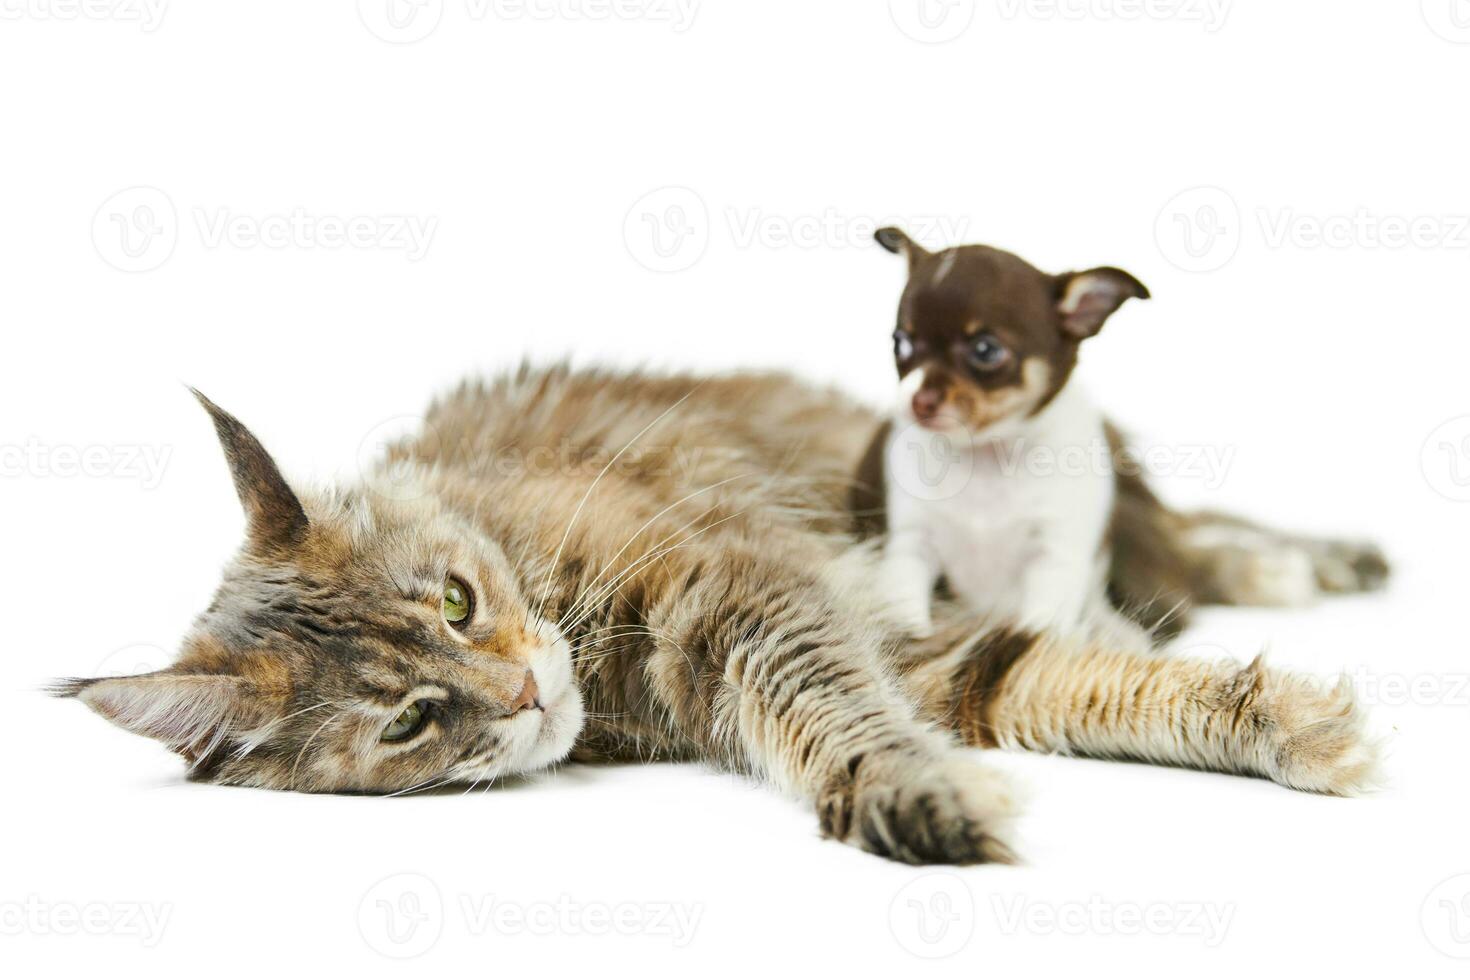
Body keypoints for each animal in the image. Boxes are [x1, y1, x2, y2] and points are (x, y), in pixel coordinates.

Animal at [57, 367, 1381, 863]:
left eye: (456, 600)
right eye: (410, 721)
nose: (525, 693)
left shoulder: (748, 590)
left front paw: (1292, 723)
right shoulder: (901, 647)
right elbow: (1042, 681)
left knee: (1185, 537)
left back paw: (1320, 560)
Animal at [864, 229, 1152, 637]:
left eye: (985, 350)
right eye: (899, 343)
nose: (918, 400)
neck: (988, 455)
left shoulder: (1055, 560)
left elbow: (1042, 632)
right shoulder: (910, 546)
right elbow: (904, 612)